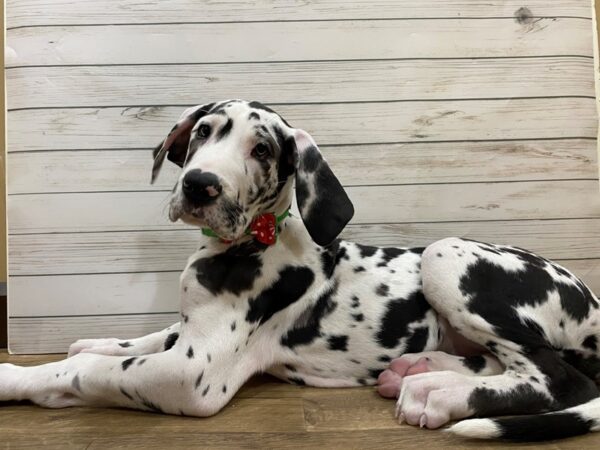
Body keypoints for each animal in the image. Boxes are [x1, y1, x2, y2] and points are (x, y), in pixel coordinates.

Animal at [1, 100, 600, 442]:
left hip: (444, 255)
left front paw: (18, 376)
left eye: (262, 150)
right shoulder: (190, 331)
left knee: (557, 378)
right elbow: (145, 337)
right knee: (506, 362)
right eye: (203, 133)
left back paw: (439, 395)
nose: (199, 185)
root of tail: (592, 303)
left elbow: (88, 373)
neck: (247, 243)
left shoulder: (194, 374)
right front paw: (100, 341)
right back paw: (423, 370)